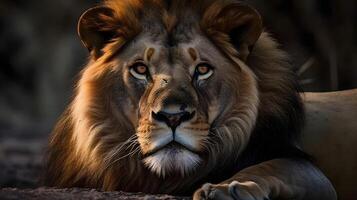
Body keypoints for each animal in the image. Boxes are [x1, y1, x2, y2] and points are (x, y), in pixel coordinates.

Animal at [43, 0, 336, 199]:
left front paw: (229, 188)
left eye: (202, 69)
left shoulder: (310, 172)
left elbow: (268, 167)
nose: (172, 116)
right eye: (140, 69)